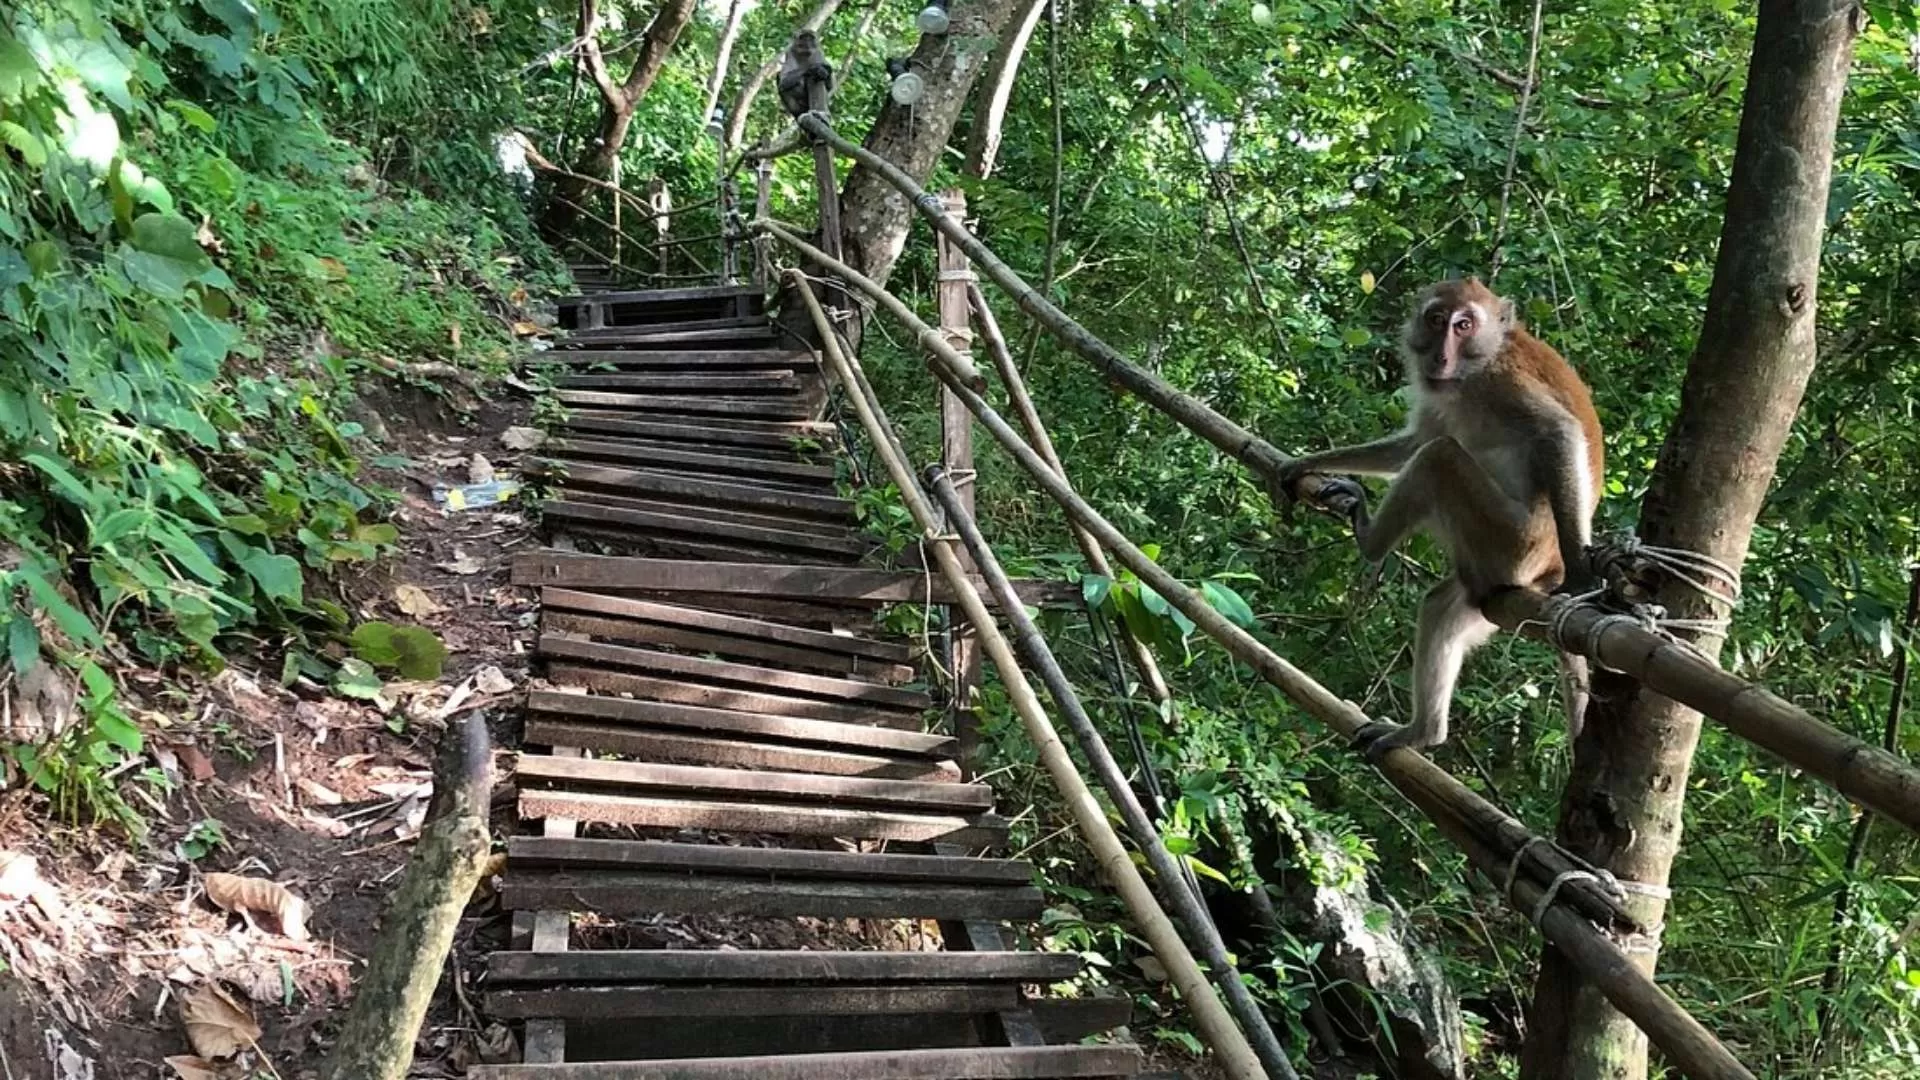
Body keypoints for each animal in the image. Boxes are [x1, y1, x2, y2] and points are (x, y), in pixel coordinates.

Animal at [1275, 276, 1603, 759]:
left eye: (1464, 325)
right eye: (1436, 319)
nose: (1440, 356)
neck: (1476, 366)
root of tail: (1544, 570)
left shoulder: (1503, 383)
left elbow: (1557, 434)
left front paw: (1583, 576)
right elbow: (1414, 442)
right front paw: (1307, 463)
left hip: (1510, 540)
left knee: (1439, 457)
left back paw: (1370, 539)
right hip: (1485, 579)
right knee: (1439, 607)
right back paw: (1424, 732)